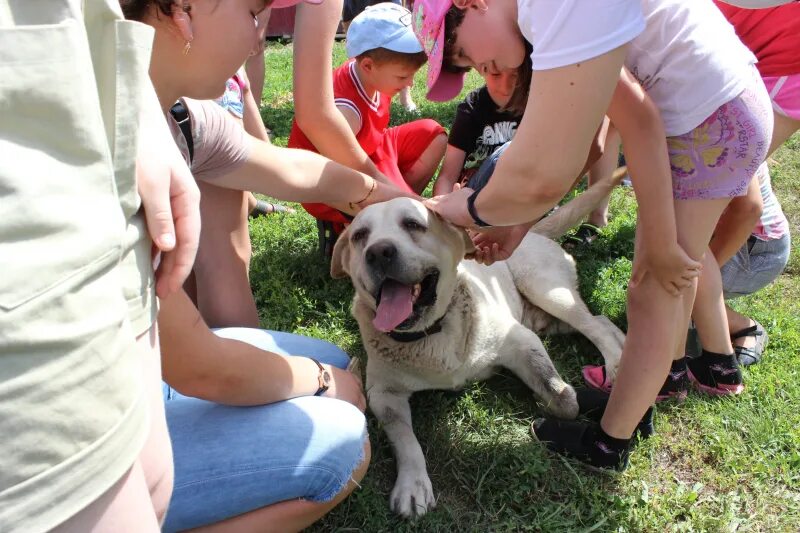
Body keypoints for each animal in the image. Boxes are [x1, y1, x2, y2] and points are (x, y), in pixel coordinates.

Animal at [330, 177, 624, 516]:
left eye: (413, 224)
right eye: (359, 236)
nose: (378, 252)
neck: (431, 332)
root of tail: (533, 230)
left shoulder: (521, 338)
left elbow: (564, 400)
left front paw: (554, 398)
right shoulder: (382, 393)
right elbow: (405, 437)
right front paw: (413, 484)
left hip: (547, 291)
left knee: (595, 324)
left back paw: (616, 363)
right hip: (548, 318)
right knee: (604, 321)